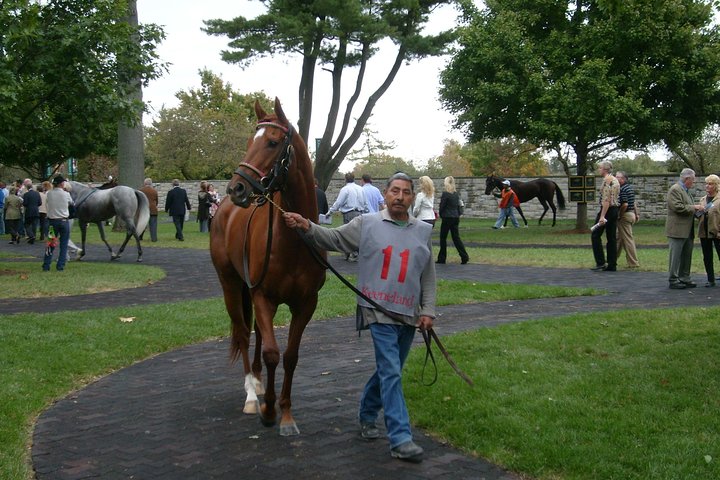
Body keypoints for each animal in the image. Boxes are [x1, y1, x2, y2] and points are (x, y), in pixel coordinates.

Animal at [210, 98, 326, 436]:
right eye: (250, 141)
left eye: (273, 142)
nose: (236, 188)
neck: (294, 242)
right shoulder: (263, 296)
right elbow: (272, 353)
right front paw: (269, 411)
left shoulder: (306, 303)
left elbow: (289, 356)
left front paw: (285, 413)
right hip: (231, 285)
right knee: (242, 333)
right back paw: (252, 394)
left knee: (259, 336)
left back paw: (260, 384)